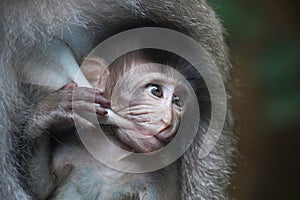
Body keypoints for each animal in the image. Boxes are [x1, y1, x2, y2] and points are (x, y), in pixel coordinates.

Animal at [0, 0, 234, 200]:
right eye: (156, 91)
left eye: (177, 100)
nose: (168, 121)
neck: (113, 153)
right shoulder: (69, 151)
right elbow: (40, 185)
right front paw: (53, 109)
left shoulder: (159, 175)